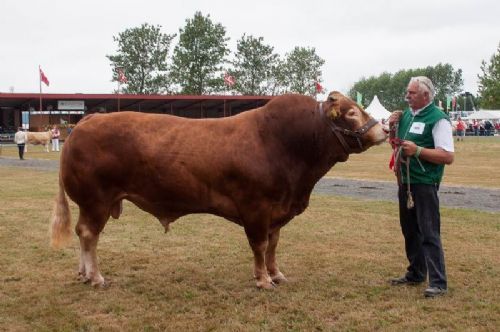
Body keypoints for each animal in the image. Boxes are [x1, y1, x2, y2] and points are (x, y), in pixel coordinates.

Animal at [50, 92, 386, 290]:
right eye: (351, 113)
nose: (383, 129)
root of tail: (88, 120)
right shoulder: (256, 208)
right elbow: (260, 245)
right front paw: (263, 280)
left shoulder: (277, 211)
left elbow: (274, 245)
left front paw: (276, 274)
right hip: (96, 199)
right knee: (89, 234)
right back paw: (96, 277)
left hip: (93, 203)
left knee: (83, 234)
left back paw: (83, 273)